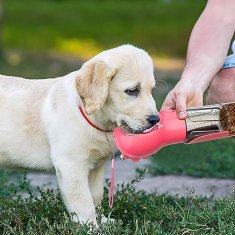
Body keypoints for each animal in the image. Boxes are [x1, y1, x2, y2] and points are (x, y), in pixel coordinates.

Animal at [0, 44, 159, 226]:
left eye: (151, 90)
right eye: (132, 91)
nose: (156, 119)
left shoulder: (97, 166)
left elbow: (95, 196)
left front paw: (102, 221)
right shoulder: (71, 165)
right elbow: (83, 202)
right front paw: (90, 227)